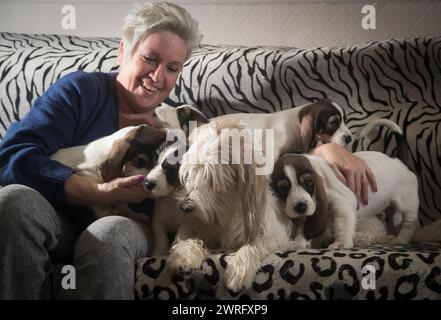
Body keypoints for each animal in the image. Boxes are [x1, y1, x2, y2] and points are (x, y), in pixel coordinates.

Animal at [270, 125, 418, 250]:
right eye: (282, 188)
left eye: (308, 183)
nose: (300, 207)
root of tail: (402, 162)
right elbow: (303, 229)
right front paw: (298, 242)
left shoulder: (342, 203)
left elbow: (342, 224)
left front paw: (341, 243)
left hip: (406, 203)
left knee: (409, 223)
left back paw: (401, 240)